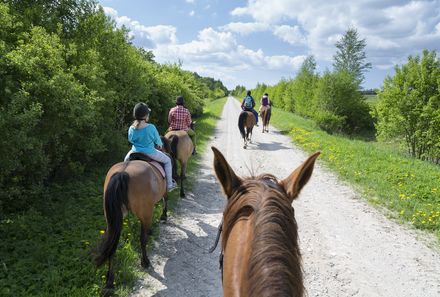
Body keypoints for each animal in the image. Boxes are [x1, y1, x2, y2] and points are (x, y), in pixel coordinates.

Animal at [93, 154, 168, 294]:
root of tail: (122, 173)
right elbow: (166, 200)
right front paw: (164, 217)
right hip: (144, 213)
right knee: (142, 239)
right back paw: (145, 262)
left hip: (113, 219)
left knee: (112, 245)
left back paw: (109, 283)